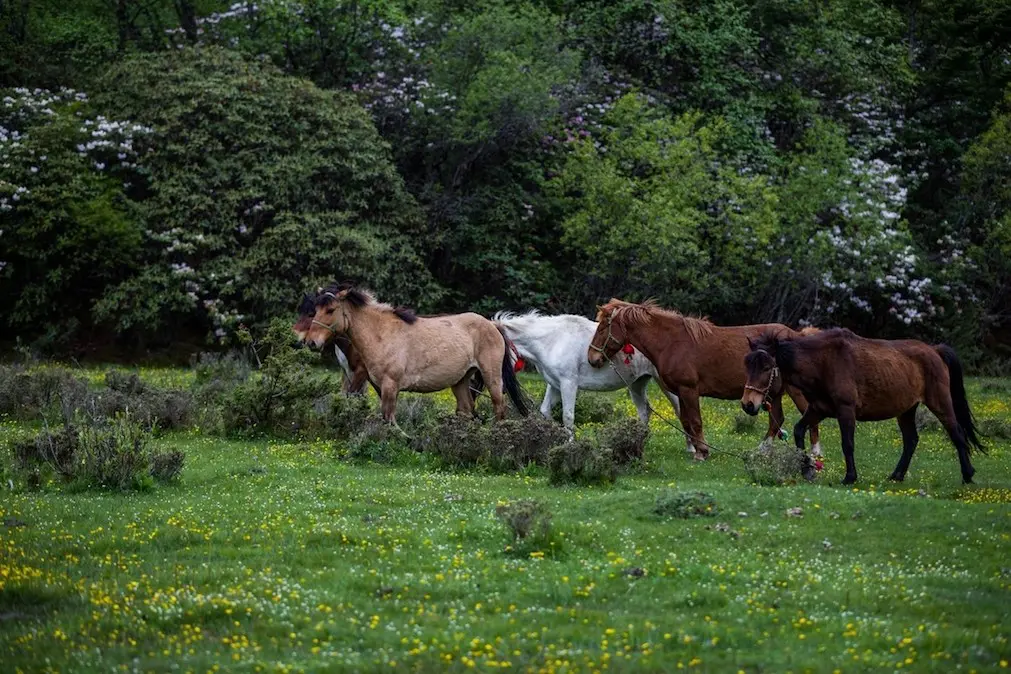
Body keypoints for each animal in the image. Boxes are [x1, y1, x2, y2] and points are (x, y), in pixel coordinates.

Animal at [302, 284, 528, 423]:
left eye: (330, 310)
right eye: (315, 309)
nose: (311, 342)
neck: (382, 334)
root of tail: (492, 325)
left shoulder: (389, 385)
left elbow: (387, 417)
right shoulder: (377, 384)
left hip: (492, 378)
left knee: (499, 408)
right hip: (461, 381)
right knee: (467, 409)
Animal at [493, 310, 682, 433]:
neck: (553, 340)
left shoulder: (569, 383)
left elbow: (568, 416)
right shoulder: (554, 384)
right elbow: (545, 411)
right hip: (637, 383)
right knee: (644, 411)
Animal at [586, 299, 821, 460]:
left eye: (603, 327)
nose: (592, 358)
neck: (672, 342)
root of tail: (798, 336)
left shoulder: (689, 389)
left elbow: (696, 421)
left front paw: (702, 452)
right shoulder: (680, 392)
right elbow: (686, 421)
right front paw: (697, 449)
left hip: (794, 391)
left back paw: (815, 454)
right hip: (773, 392)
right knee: (777, 420)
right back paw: (762, 452)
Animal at [742, 328, 984, 485]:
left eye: (766, 367)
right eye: (747, 365)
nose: (748, 404)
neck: (823, 363)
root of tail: (935, 350)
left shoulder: (846, 410)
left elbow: (847, 444)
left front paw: (850, 477)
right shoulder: (818, 409)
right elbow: (799, 431)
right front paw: (807, 470)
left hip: (940, 403)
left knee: (956, 433)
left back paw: (968, 474)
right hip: (906, 410)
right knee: (911, 440)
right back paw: (897, 475)